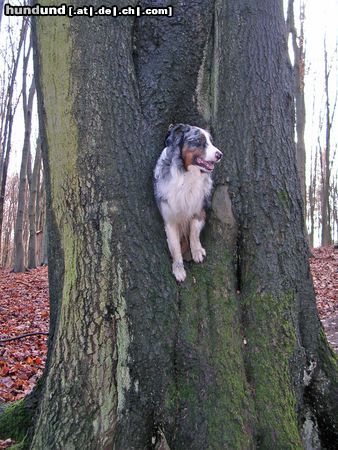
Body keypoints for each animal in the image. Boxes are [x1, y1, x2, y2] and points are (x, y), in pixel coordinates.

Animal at [153, 123, 222, 282]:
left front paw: (197, 251)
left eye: (211, 141)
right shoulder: (169, 219)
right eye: (199, 141)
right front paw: (178, 269)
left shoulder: (199, 209)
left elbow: (194, 232)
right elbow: (175, 247)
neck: (187, 175)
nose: (220, 154)